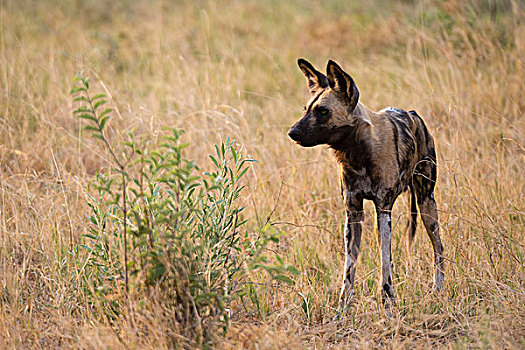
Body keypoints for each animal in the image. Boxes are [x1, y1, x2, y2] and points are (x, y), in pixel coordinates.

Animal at [288, 58, 444, 310]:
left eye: (323, 111)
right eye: (306, 110)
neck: (357, 156)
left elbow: (385, 264)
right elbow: (349, 269)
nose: (292, 132)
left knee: (438, 248)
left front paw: (388, 306)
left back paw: (437, 289)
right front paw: (342, 309)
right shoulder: (353, 213)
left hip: (426, 205)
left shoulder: (383, 210)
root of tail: (413, 114)